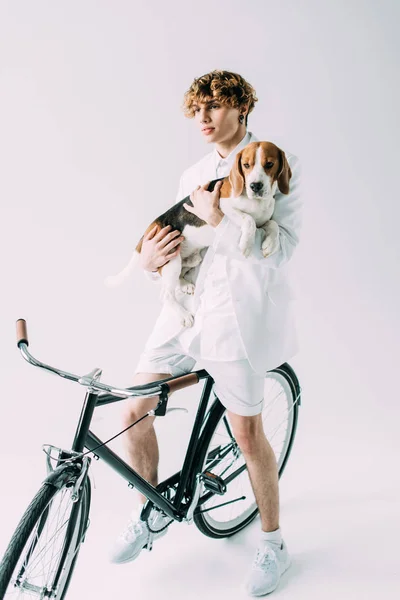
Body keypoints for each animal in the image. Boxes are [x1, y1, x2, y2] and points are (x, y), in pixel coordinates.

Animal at [104, 141, 292, 328]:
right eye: (246, 165)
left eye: (269, 164)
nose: (255, 186)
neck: (257, 202)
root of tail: (151, 227)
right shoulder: (224, 208)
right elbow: (249, 219)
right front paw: (246, 244)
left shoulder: (264, 221)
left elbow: (273, 224)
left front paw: (270, 244)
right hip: (171, 259)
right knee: (165, 294)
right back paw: (184, 315)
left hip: (191, 258)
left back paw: (185, 285)